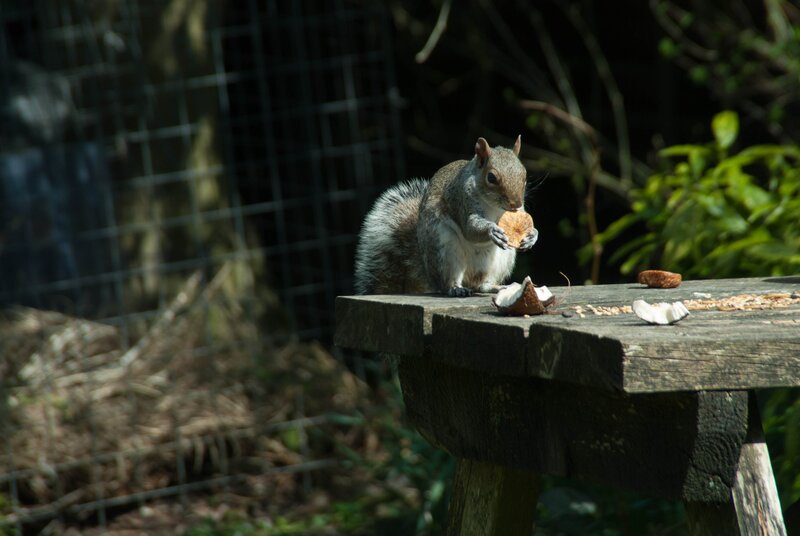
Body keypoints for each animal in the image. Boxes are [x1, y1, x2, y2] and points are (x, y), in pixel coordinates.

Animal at [354, 136, 538, 297]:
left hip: (501, 260)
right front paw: (492, 230)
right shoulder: (461, 200)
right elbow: (470, 229)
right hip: (444, 248)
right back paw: (455, 289)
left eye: (524, 175)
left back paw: (494, 287)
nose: (515, 204)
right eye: (491, 177)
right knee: (447, 281)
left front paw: (533, 235)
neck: (493, 206)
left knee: (480, 284)